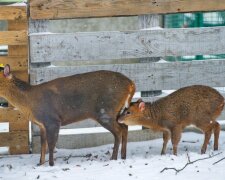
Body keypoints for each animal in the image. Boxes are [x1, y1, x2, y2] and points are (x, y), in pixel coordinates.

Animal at [0, 64, 135, 166]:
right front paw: (40, 163)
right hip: (116, 111)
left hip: (105, 111)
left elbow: (51, 145)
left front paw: (51, 164)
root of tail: (131, 84)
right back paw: (123, 156)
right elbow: (43, 145)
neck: (29, 102)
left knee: (118, 131)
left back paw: (113, 158)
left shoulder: (52, 120)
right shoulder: (42, 125)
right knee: (124, 127)